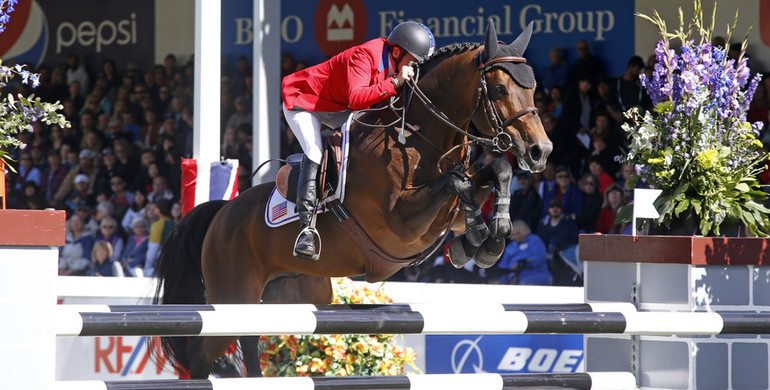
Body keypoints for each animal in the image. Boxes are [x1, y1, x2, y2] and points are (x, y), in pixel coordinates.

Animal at [153, 20, 548, 378]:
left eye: (533, 88)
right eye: (499, 88)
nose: (540, 151)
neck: (415, 138)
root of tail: (221, 214)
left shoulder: (446, 213)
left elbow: (497, 170)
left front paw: (486, 241)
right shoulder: (402, 224)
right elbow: (458, 183)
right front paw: (479, 238)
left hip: (291, 295)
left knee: (247, 345)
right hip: (234, 294)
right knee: (202, 356)